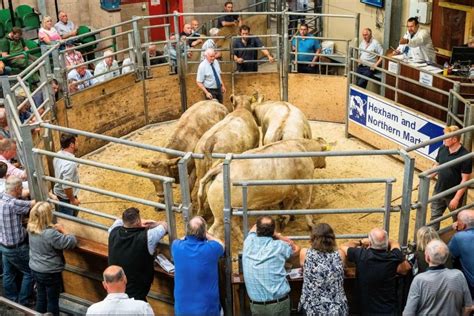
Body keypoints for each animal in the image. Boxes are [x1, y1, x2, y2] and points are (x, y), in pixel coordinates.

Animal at [196, 138, 326, 239]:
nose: (324, 164)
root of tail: (218, 169)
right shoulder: (304, 183)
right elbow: (306, 205)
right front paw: (311, 225)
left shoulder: (288, 191)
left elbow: (287, 208)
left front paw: (283, 221)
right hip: (220, 216)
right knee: (213, 232)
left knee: (234, 227)